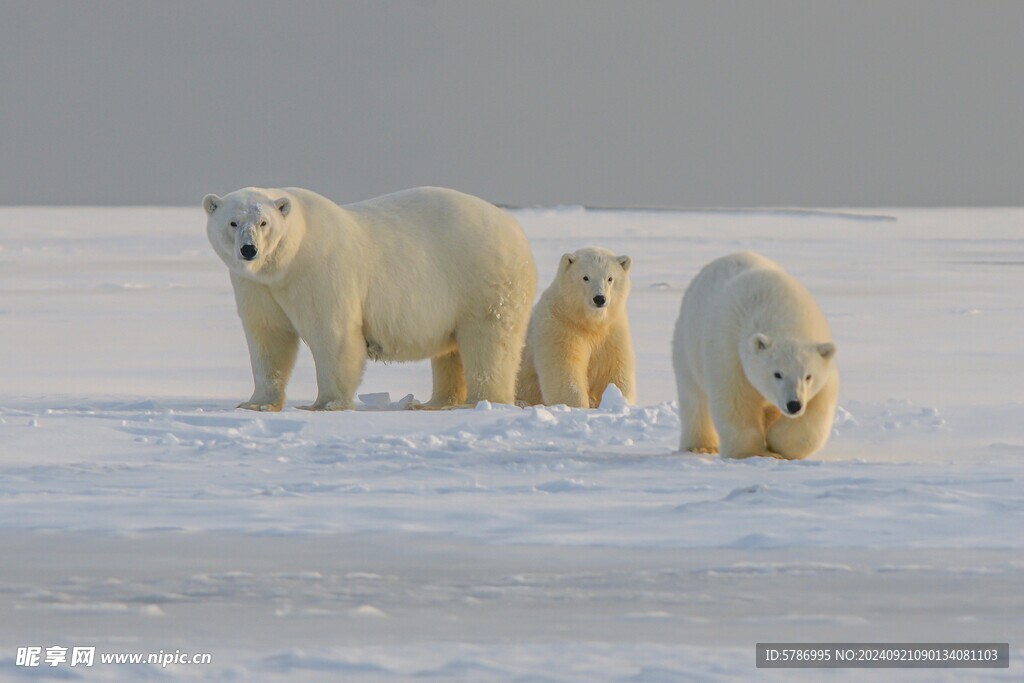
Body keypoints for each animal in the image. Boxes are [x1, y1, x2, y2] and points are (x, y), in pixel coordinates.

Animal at [200, 185, 536, 411]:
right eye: (232, 222)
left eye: (264, 223)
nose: (249, 249)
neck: (288, 261)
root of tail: (515, 229)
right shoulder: (257, 286)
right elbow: (268, 337)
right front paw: (256, 403)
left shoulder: (321, 271)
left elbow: (332, 334)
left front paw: (325, 404)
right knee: (450, 352)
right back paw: (435, 402)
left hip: (482, 278)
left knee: (488, 341)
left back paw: (481, 401)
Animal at [520, 250, 630, 411]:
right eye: (585, 277)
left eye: (610, 278)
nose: (599, 298)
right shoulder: (560, 327)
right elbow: (564, 370)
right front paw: (578, 407)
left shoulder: (612, 331)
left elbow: (614, 369)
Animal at [671, 253, 839, 462]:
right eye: (777, 374)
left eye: (808, 376)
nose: (794, 405)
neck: (782, 314)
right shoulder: (730, 352)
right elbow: (736, 400)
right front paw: (752, 452)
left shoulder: (823, 368)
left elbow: (817, 409)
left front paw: (777, 443)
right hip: (687, 345)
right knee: (694, 398)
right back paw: (700, 447)